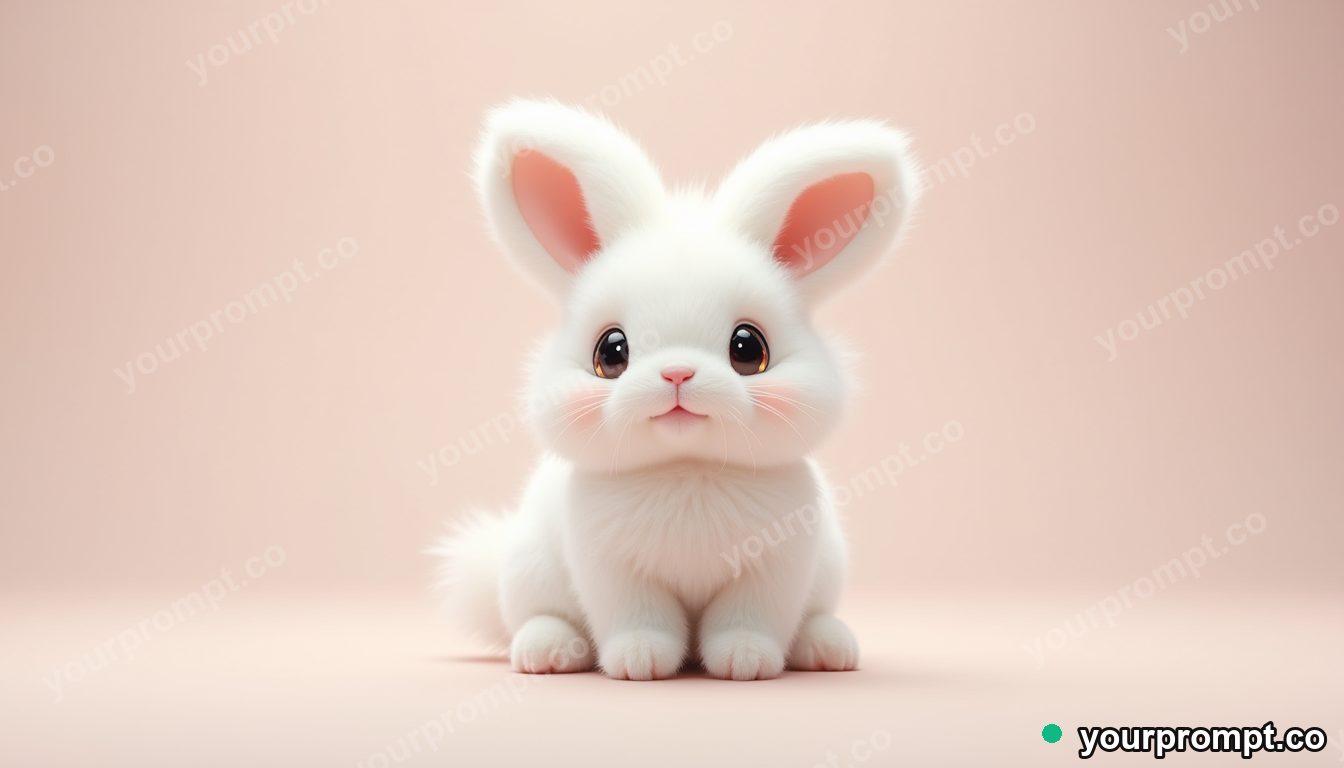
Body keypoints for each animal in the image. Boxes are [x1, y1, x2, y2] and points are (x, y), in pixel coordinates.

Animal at [433, 99, 921, 680]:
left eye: (748, 349)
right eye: (610, 353)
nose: (678, 374)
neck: (688, 471)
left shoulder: (775, 566)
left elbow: (750, 617)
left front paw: (745, 662)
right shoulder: (612, 568)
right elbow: (639, 616)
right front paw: (639, 662)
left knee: (815, 615)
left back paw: (828, 648)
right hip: (531, 568)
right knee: (535, 614)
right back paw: (547, 652)